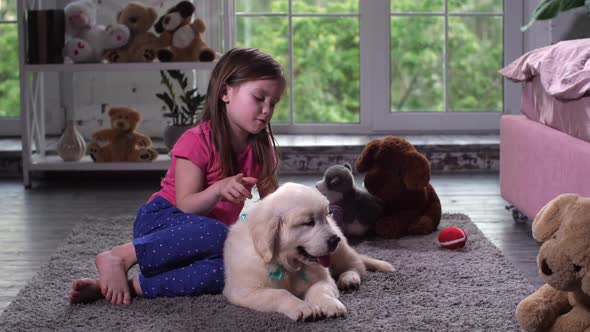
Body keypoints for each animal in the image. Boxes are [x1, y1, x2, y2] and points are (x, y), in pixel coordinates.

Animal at [224, 183, 396, 320]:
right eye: (308, 222)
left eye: (325, 216)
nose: (334, 240)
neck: (288, 265)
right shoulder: (246, 291)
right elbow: (279, 293)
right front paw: (302, 307)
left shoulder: (323, 279)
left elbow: (320, 290)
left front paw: (330, 304)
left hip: (340, 252)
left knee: (356, 265)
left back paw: (349, 278)